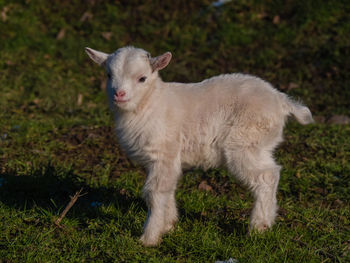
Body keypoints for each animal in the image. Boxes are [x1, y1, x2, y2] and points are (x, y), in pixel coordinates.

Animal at [85, 46, 314, 248]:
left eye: (142, 78)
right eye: (108, 75)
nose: (119, 94)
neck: (150, 103)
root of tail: (281, 101)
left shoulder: (164, 152)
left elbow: (155, 192)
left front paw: (149, 238)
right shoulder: (168, 159)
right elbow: (168, 188)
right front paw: (169, 226)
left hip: (244, 141)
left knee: (266, 176)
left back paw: (258, 228)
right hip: (259, 145)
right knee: (272, 171)